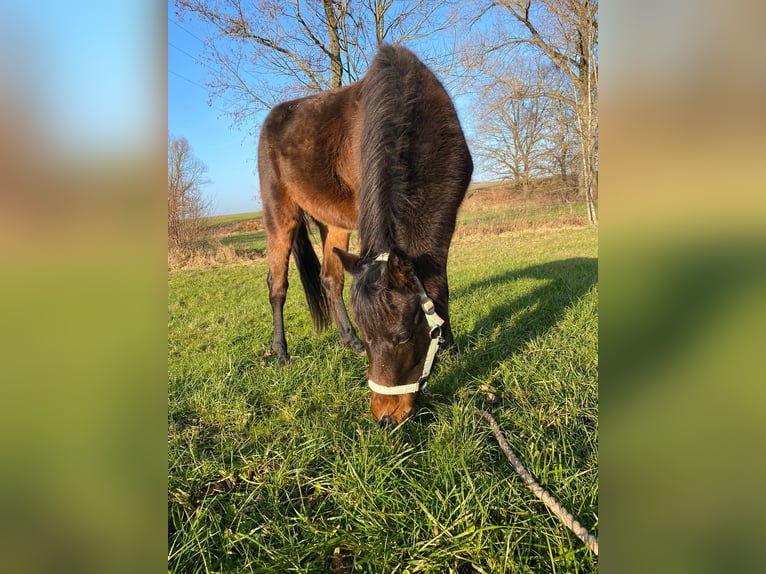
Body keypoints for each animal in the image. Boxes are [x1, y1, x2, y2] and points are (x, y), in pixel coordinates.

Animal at [260, 44, 474, 428]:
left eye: (402, 336)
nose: (384, 417)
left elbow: (441, 287)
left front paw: (450, 345)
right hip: (280, 216)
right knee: (278, 285)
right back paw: (281, 353)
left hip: (334, 224)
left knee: (330, 279)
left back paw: (348, 342)